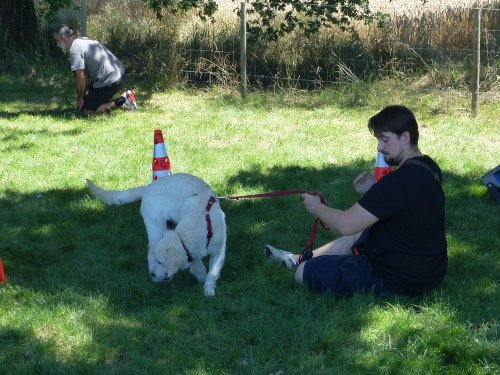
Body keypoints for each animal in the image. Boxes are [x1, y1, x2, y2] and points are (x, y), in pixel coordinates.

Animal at [86, 173, 227, 296]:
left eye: (160, 262)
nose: (153, 274)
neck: (201, 219)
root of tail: (147, 187)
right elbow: (198, 265)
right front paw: (202, 278)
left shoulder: (219, 249)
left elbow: (213, 272)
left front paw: (208, 290)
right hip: (155, 227)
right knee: (149, 253)